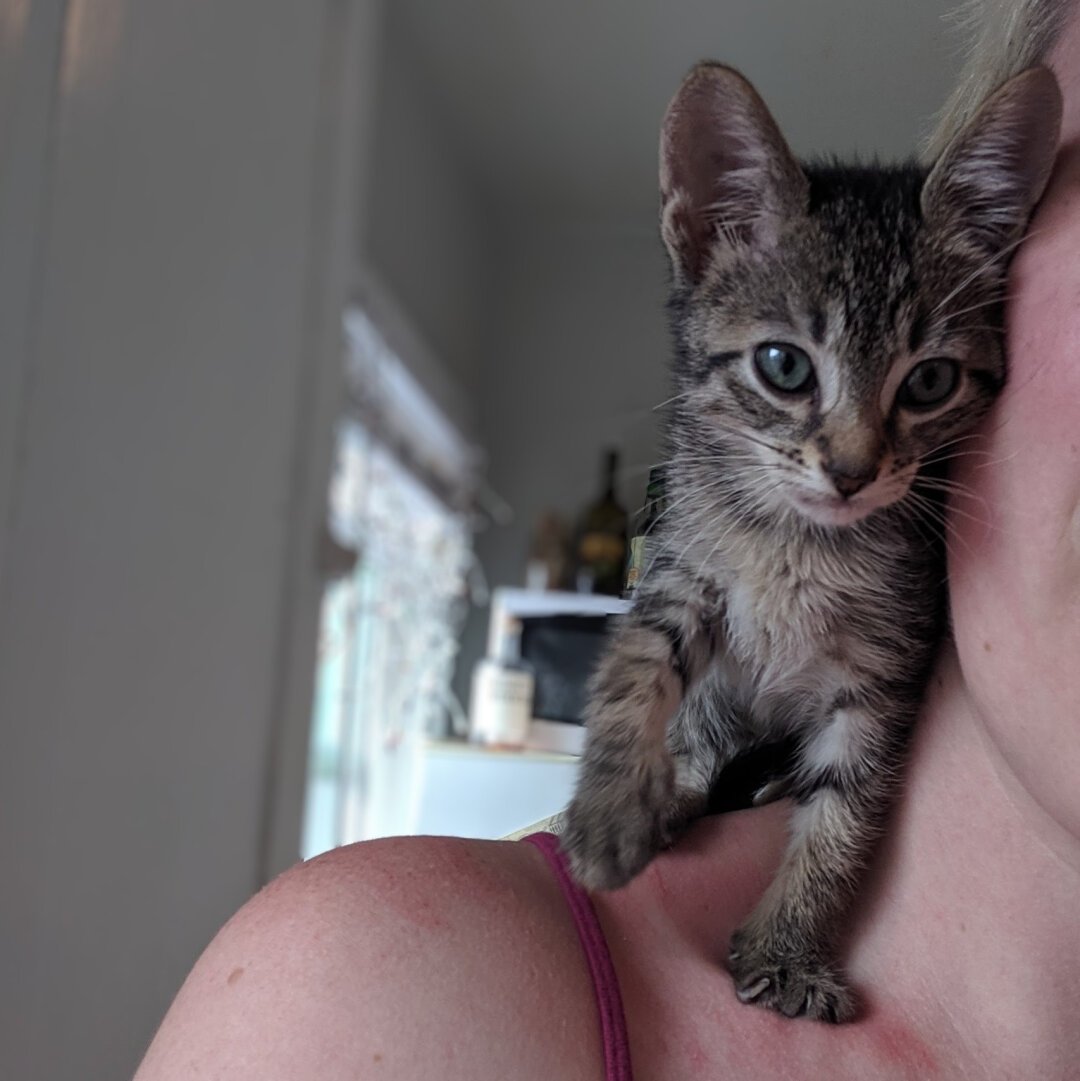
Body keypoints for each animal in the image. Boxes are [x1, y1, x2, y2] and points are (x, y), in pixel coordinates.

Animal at [562, 61, 1059, 1020]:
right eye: (784, 366)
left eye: (930, 381)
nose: (853, 471)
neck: (801, 541)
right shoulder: (683, 559)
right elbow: (636, 665)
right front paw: (611, 804)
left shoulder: (885, 668)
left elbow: (847, 812)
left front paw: (790, 945)